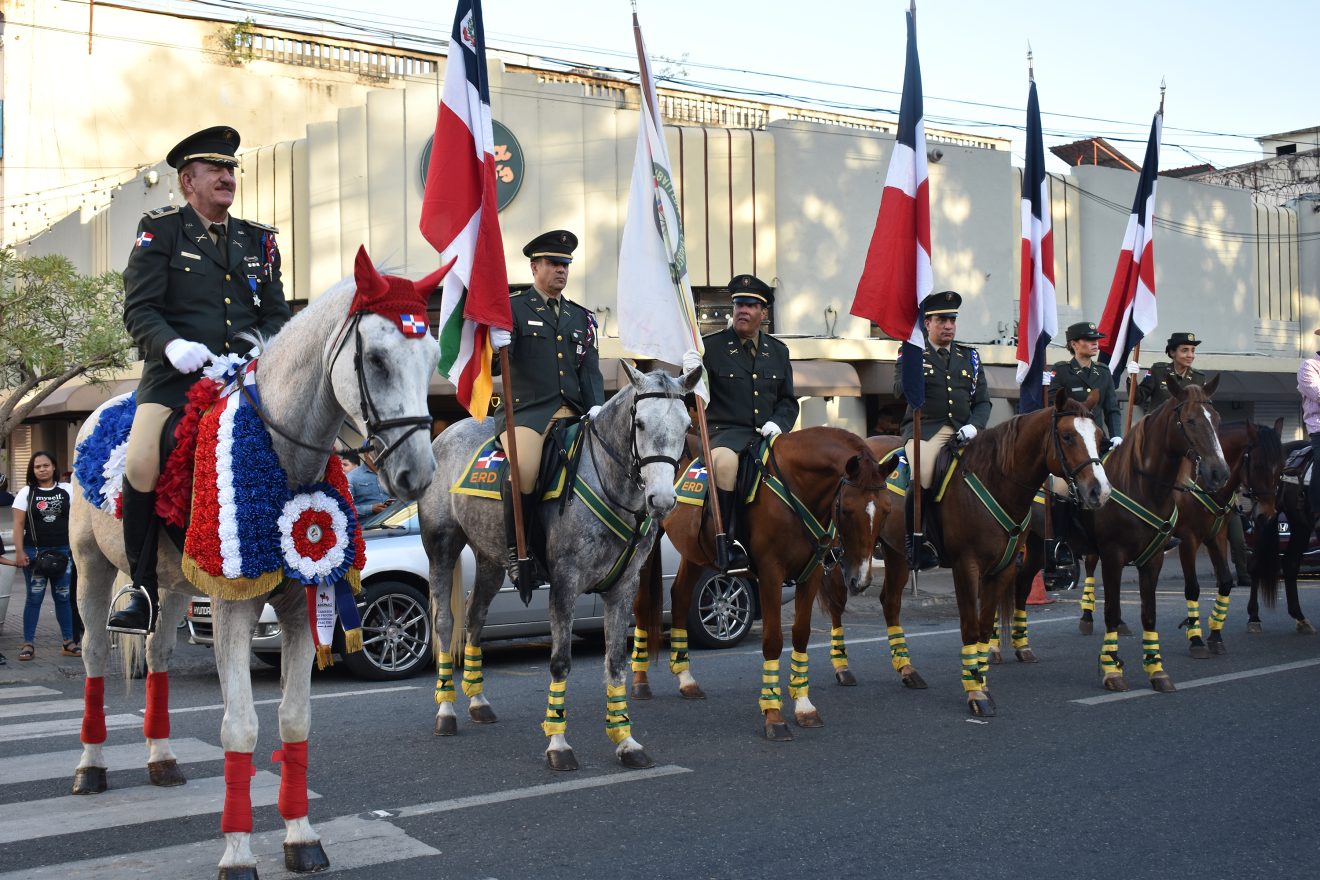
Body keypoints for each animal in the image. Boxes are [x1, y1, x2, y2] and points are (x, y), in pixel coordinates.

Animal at [69, 249, 440, 880]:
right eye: (376, 358)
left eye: (435, 356)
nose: (418, 475)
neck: (281, 453)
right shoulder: (232, 608)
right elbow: (240, 728)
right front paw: (239, 853)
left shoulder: (299, 607)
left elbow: (294, 720)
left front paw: (301, 837)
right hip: (90, 566)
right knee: (95, 652)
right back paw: (91, 767)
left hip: (173, 586)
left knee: (159, 654)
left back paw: (162, 758)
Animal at [419, 364, 702, 770]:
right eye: (641, 424)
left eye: (686, 424)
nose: (661, 500)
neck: (607, 485)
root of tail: (447, 432)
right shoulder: (565, 584)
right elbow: (560, 662)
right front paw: (558, 743)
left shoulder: (623, 586)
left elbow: (615, 661)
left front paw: (626, 740)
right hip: (442, 546)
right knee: (445, 622)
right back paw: (446, 711)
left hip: (490, 559)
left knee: (475, 617)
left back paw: (478, 700)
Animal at [628, 422, 887, 738]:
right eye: (847, 510)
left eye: (886, 510)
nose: (860, 580)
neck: (796, 487)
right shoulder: (770, 573)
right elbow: (773, 640)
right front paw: (773, 715)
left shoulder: (811, 573)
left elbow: (800, 635)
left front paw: (804, 705)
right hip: (649, 544)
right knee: (643, 606)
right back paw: (641, 682)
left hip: (695, 549)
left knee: (679, 597)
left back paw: (686, 679)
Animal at [1019, 379, 1224, 696]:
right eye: (1190, 421)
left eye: (1216, 419)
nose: (1219, 473)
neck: (1141, 487)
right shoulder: (1113, 558)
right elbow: (1112, 611)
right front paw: (1112, 669)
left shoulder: (1153, 560)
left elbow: (1149, 613)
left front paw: (1156, 670)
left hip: (1035, 550)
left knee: (1020, 588)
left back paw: (1020, 648)